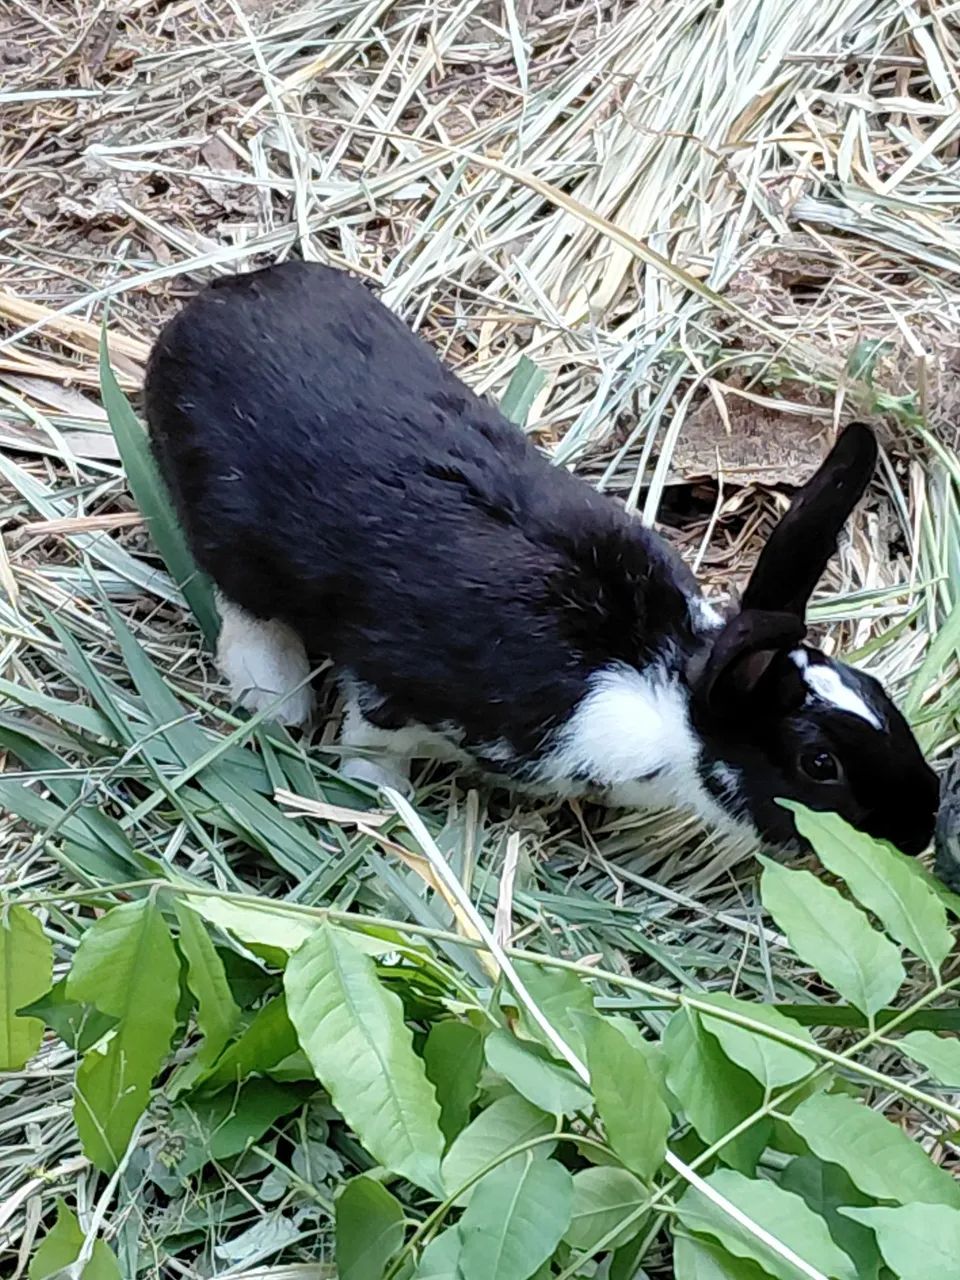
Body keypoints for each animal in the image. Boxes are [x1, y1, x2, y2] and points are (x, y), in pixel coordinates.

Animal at [143, 261, 939, 857]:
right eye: (819, 764)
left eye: (874, 691)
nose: (921, 827)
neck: (662, 680)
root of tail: (208, 308)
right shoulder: (395, 688)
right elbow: (372, 741)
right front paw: (379, 795)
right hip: (233, 536)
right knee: (244, 606)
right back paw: (274, 699)